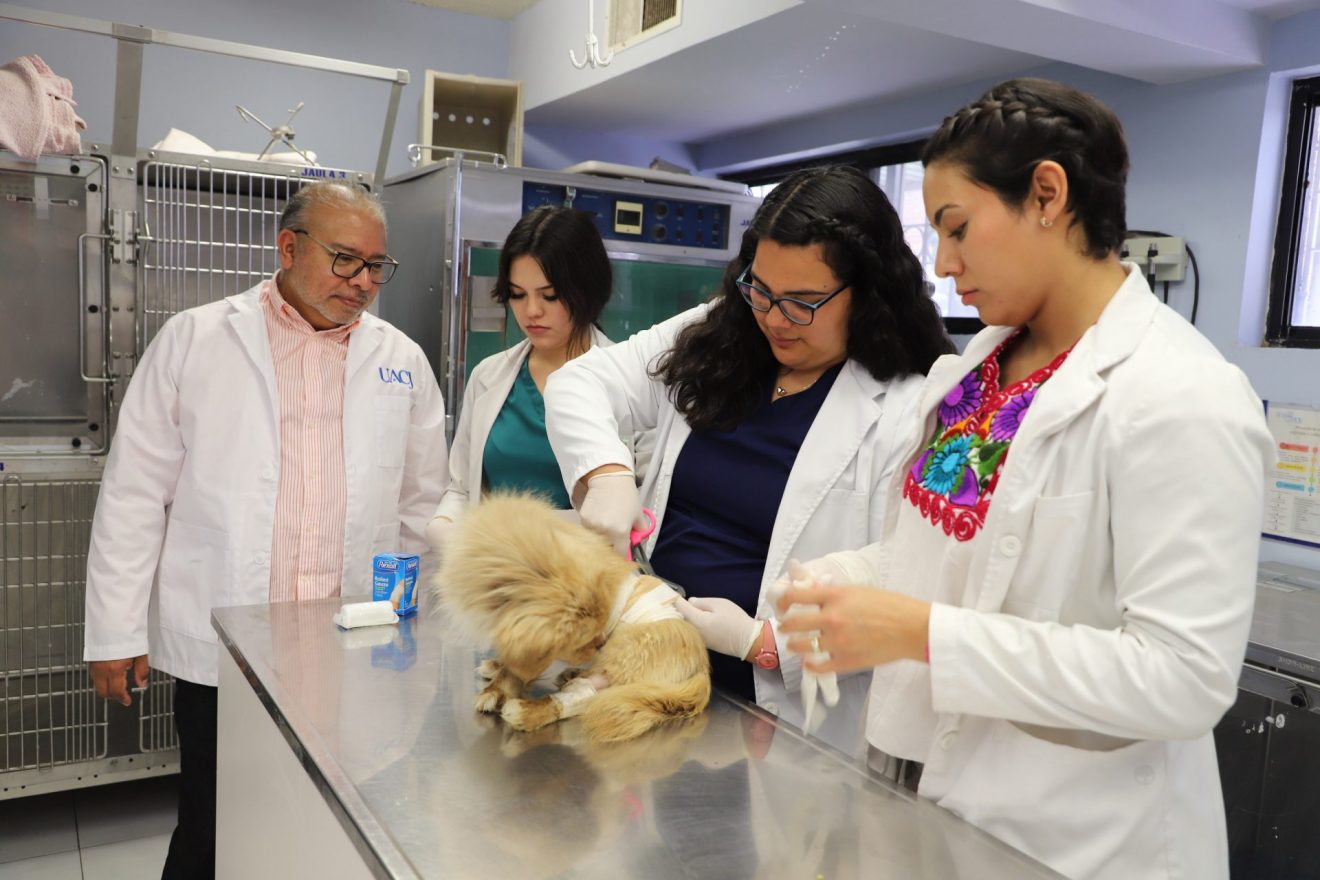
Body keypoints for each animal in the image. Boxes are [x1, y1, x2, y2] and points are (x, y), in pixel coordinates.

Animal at [433, 492, 710, 743]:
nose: (601, 643)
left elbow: (516, 671)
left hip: (623, 658)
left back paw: (528, 712)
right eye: (581, 639)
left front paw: (496, 690)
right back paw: (570, 674)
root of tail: (702, 668)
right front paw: (497, 666)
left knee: (589, 695)